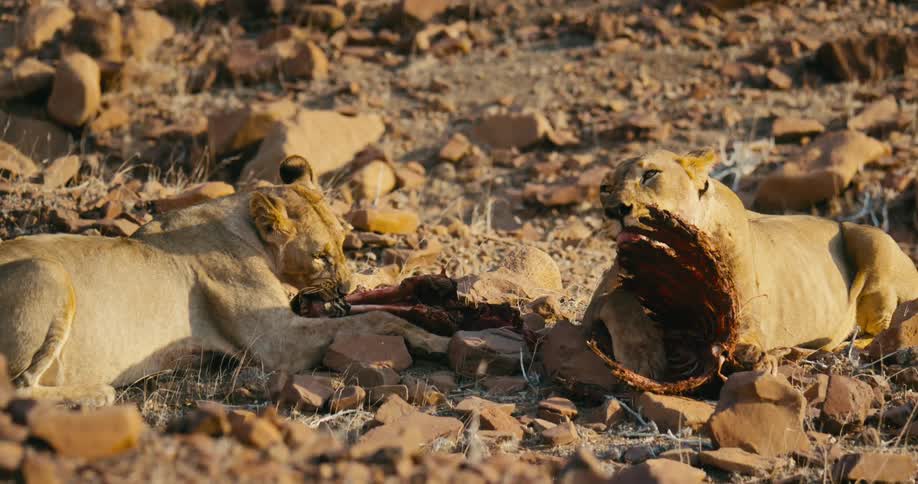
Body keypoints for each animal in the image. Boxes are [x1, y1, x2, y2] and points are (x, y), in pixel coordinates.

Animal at [0, 156, 449, 406]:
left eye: (342, 243)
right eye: (320, 256)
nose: (343, 289)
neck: (247, 231)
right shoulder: (277, 342)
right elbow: (377, 319)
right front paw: (434, 339)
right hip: (47, 271)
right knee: (19, 387)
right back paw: (98, 394)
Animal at [582, 149, 918, 380]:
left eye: (650, 174)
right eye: (605, 188)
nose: (615, 210)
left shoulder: (747, 313)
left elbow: (742, 336)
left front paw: (754, 357)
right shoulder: (597, 303)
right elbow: (620, 299)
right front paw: (645, 356)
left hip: (872, 240)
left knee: (878, 334)